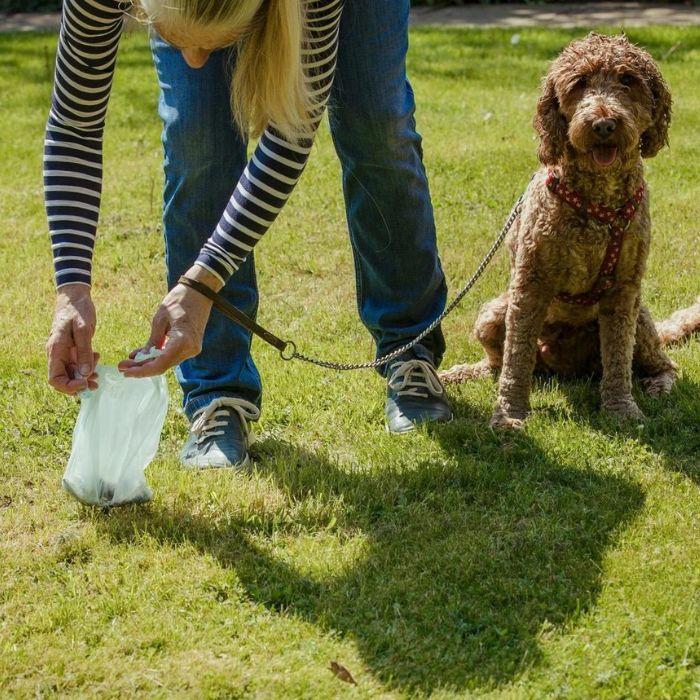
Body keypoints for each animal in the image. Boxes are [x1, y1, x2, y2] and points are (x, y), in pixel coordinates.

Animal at [440, 35, 696, 430]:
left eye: (627, 80)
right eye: (579, 83)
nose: (604, 124)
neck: (598, 203)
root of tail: (562, 367)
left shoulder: (624, 291)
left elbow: (618, 359)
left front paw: (621, 409)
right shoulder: (529, 285)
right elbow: (516, 359)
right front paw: (509, 414)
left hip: (640, 320)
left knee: (663, 364)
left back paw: (658, 386)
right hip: (492, 314)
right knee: (497, 364)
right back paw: (461, 373)